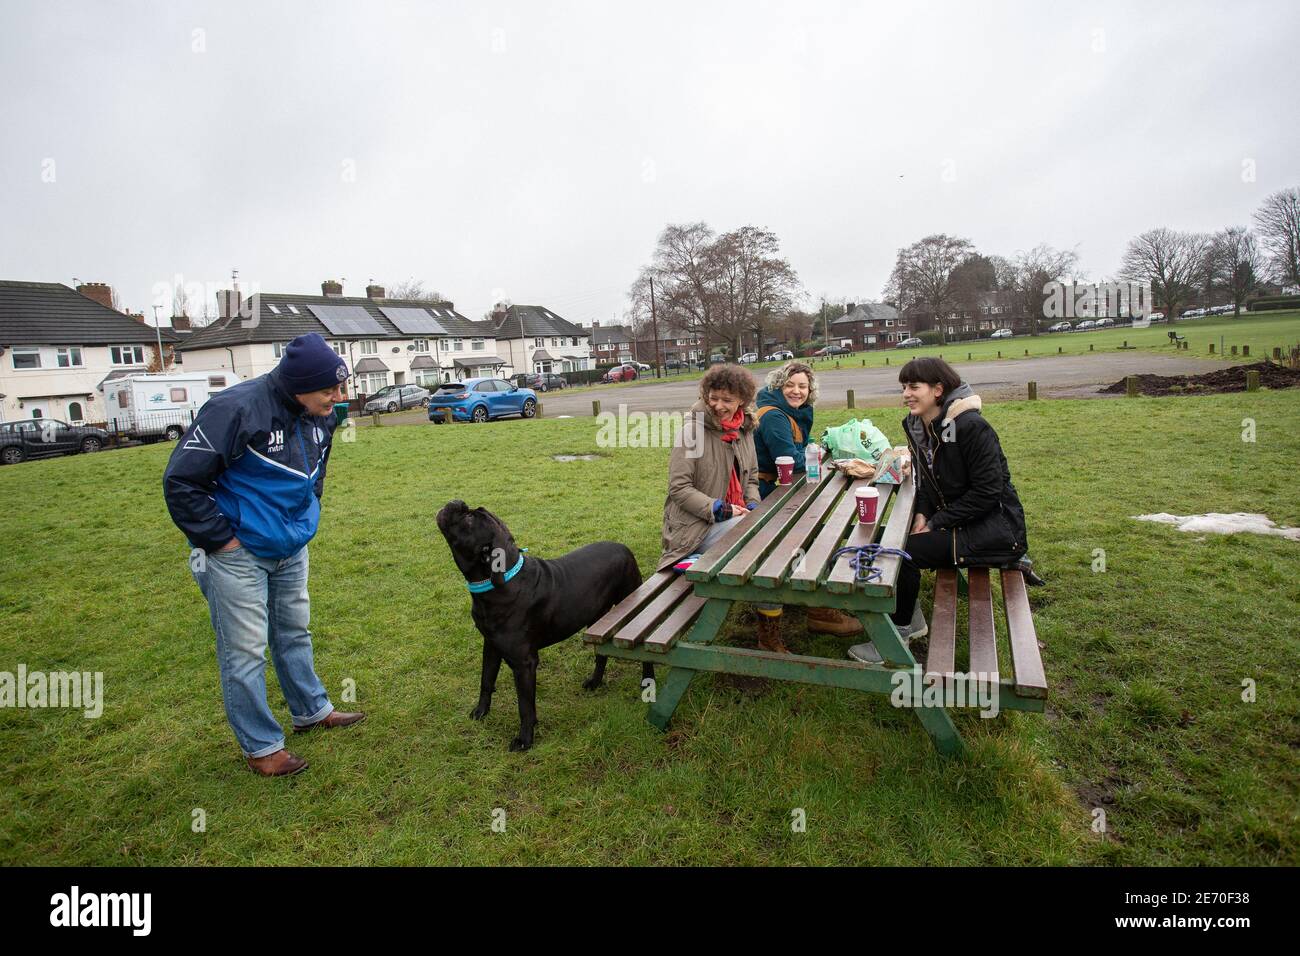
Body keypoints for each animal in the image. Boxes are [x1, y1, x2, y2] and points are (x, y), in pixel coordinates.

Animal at [436, 496, 655, 749]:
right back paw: (594, 682)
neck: (498, 582)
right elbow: (486, 681)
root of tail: (624, 547)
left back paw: (647, 681)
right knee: (601, 654)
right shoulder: (490, 646)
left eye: (469, 519)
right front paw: (481, 712)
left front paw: (525, 740)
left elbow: (525, 706)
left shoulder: (524, 663)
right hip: (597, 620)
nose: (457, 501)